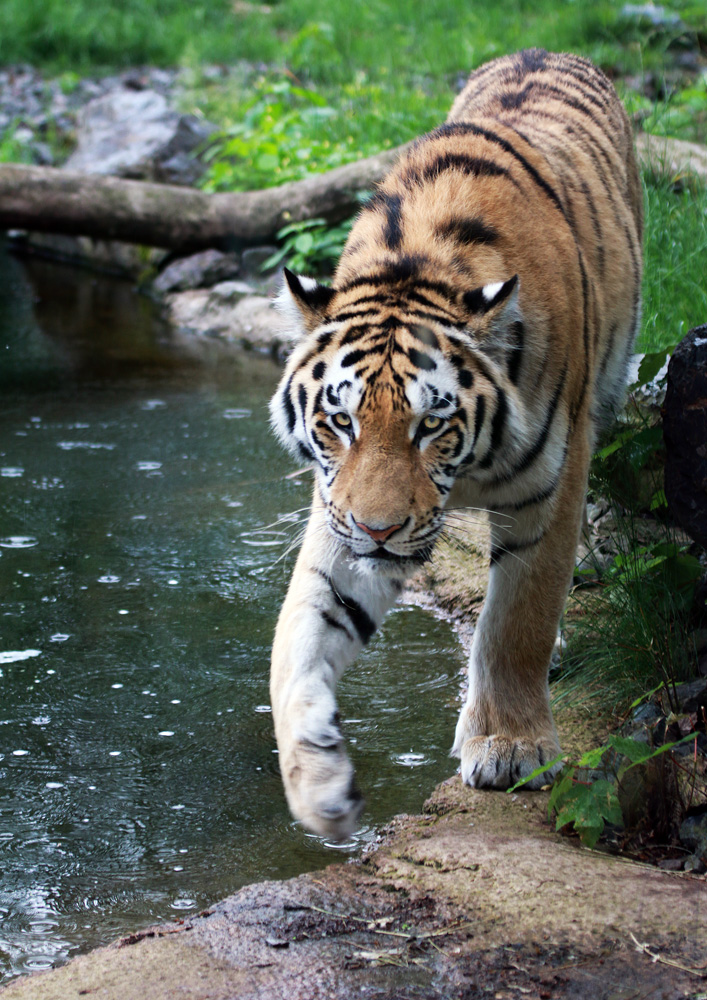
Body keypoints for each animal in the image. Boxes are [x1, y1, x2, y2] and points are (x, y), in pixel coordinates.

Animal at [268, 50, 644, 840]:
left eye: (430, 425)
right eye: (341, 422)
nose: (380, 530)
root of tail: (548, 51)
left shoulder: (551, 487)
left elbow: (517, 621)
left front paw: (509, 746)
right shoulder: (336, 512)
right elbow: (298, 640)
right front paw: (318, 783)